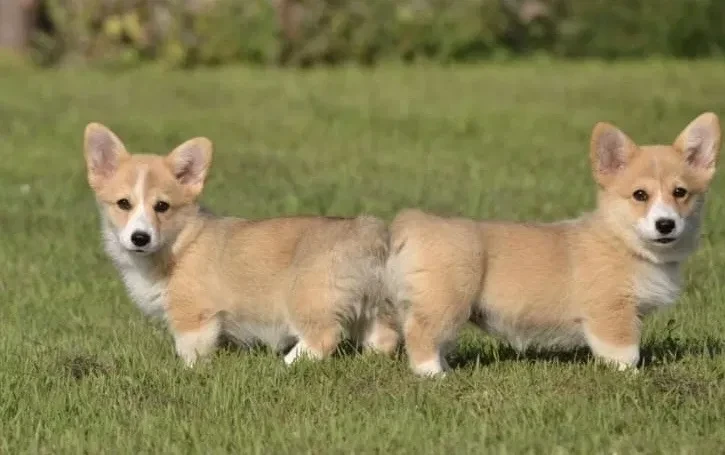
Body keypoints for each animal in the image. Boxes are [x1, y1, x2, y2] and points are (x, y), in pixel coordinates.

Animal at [84, 124, 396, 366]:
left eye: (162, 206)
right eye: (123, 203)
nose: (140, 238)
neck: (179, 245)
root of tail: (369, 233)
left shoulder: (194, 317)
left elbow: (191, 353)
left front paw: (187, 373)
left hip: (309, 298)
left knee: (322, 338)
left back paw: (284, 366)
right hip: (371, 305)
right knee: (384, 338)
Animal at [388, 112, 716, 376]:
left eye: (680, 192)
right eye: (640, 195)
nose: (665, 224)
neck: (625, 243)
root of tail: (416, 223)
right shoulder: (612, 311)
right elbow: (625, 352)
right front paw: (632, 376)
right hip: (446, 300)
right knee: (421, 334)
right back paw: (434, 375)